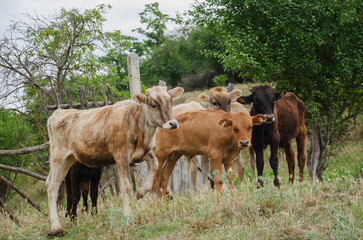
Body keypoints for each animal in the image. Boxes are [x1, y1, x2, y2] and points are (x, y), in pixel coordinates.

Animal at [45, 86, 183, 236]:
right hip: (58, 157)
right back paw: (56, 228)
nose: (173, 123)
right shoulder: (121, 156)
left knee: (51, 182)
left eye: (170, 101)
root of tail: (59, 112)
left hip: (69, 160)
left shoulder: (144, 153)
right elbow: (126, 186)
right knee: (52, 186)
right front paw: (128, 217)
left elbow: (155, 165)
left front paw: (140, 193)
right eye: (153, 104)